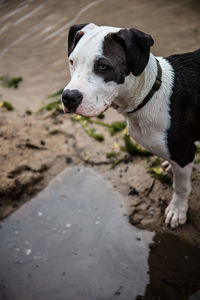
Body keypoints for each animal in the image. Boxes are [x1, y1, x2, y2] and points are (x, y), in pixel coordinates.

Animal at [61, 23, 200, 229]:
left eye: (103, 66)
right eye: (72, 61)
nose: (68, 97)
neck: (148, 95)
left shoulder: (183, 152)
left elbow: (181, 187)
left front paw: (177, 210)